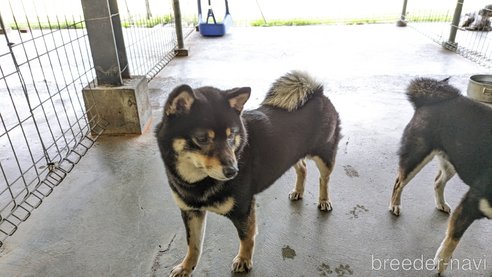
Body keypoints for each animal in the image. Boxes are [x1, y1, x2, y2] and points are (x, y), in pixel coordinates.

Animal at [156, 70, 340, 274]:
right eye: (202, 138)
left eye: (231, 135)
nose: (233, 171)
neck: (197, 182)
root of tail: (318, 92)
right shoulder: (191, 212)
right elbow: (193, 244)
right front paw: (186, 267)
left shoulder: (244, 209)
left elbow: (246, 238)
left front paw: (244, 260)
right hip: (291, 154)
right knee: (302, 168)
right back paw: (298, 191)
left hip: (324, 156)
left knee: (324, 179)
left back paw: (324, 200)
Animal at [388, 76, 492, 272]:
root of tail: (427, 100)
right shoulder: (470, 204)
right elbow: (453, 238)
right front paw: (442, 261)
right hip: (416, 156)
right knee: (399, 182)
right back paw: (395, 205)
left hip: (451, 161)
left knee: (437, 182)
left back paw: (441, 203)